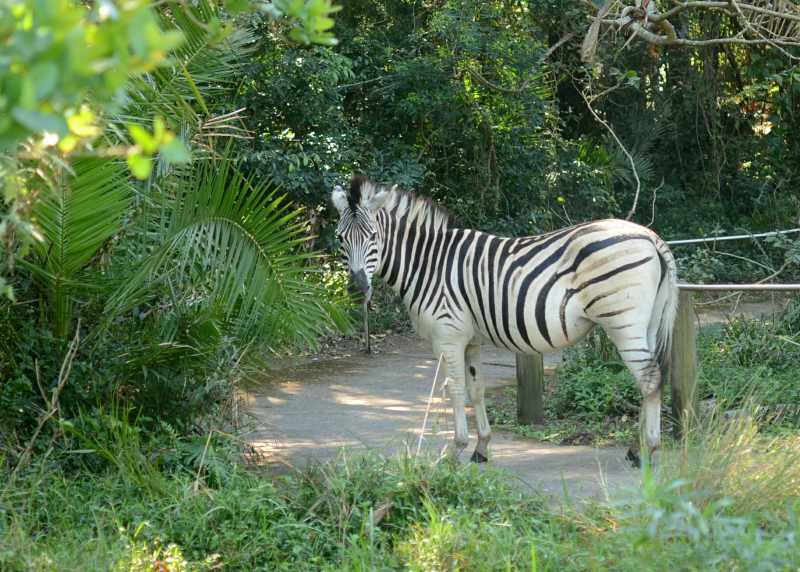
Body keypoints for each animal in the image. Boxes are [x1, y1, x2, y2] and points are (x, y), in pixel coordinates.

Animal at [331, 175, 678, 465]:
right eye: (340, 238)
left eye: (373, 236)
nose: (357, 288)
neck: (428, 263)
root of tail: (651, 237)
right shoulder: (470, 339)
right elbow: (476, 390)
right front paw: (481, 448)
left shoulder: (448, 336)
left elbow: (454, 390)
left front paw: (454, 451)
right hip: (646, 324)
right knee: (649, 380)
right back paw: (636, 448)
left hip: (623, 322)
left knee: (649, 380)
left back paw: (647, 450)